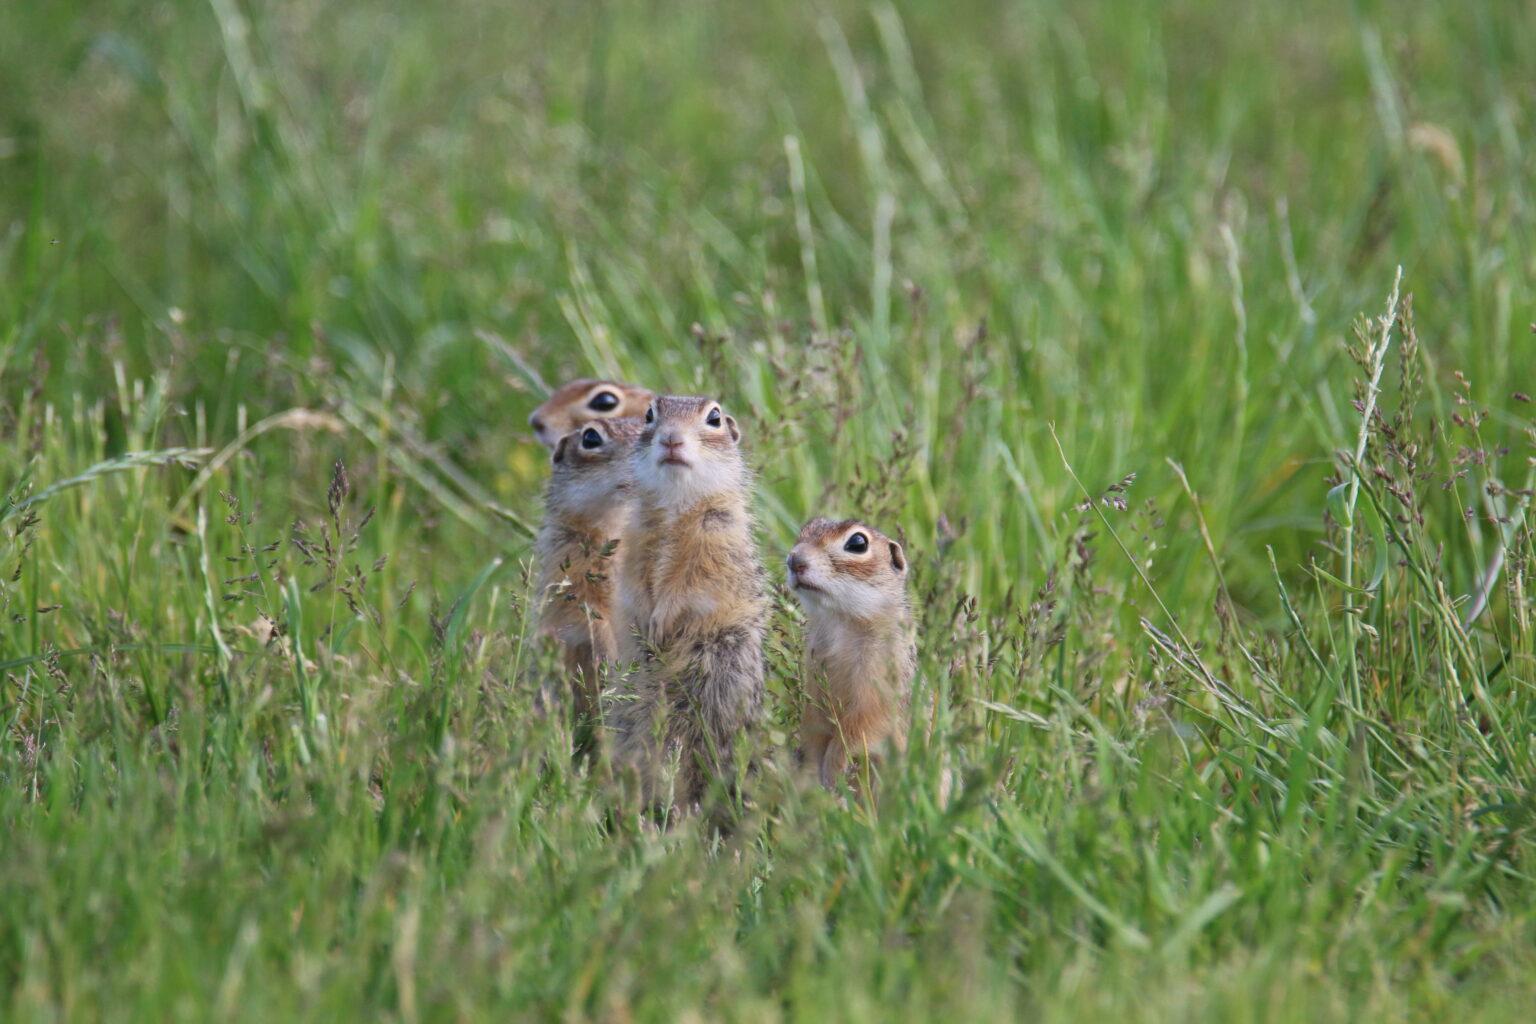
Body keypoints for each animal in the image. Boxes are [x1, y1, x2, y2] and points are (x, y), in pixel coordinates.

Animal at [602, 393, 764, 810]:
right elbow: (635, 582)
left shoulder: (714, 540)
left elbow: (687, 585)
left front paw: (660, 622)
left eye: (715, 418)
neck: (677, 503)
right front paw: (645, 620)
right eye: (649, 415)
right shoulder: (635, 540)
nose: (671, 439)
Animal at [792, 521, 909, 792]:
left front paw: (833, 770)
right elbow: (814, 726)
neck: (841, 622)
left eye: (858, 543)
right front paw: (810, 775)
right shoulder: (814, 674)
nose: (794, 560)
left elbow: (859, 728)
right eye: (806, 528)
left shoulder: (879, 681)